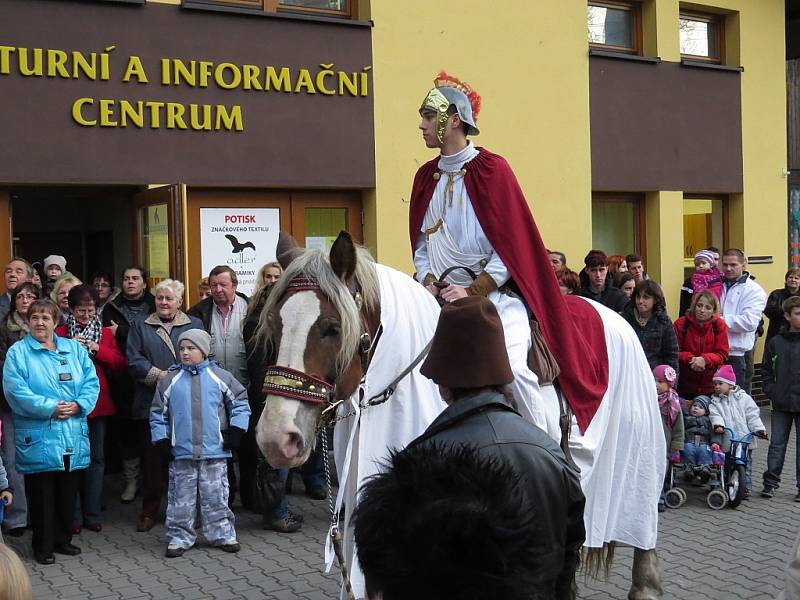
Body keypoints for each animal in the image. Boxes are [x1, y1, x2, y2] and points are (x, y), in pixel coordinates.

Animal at [255, 231, 664, 600]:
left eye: (332, 328)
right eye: (275, 323)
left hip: (638, 466)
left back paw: (644, 585)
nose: (276, 438)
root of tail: (616, 317)